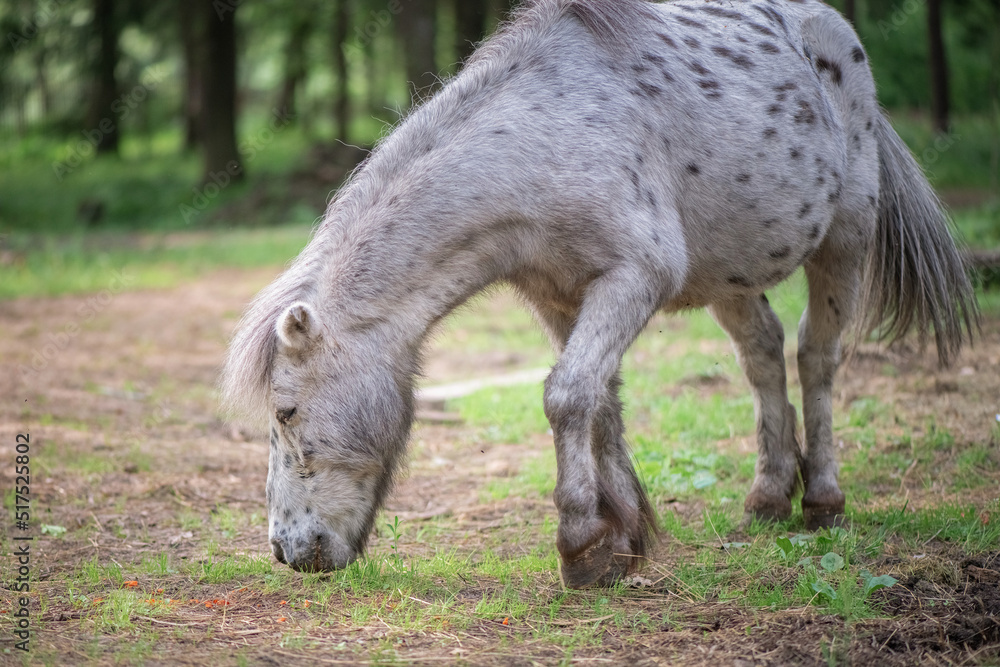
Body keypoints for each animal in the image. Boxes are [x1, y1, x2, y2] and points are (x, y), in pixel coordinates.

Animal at [221, 0, 977, 588]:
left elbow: (566, 396)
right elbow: (599, 403)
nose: (287, 550)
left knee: (817, 355)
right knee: (762, 355)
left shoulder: (633, 280)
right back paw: (767, 497)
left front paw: (581, 543)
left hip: (843, 241)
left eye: (286, 411)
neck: (544, 141)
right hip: (729, 274)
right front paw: (624, 538)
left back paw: (822, 499)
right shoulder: (559, 299)